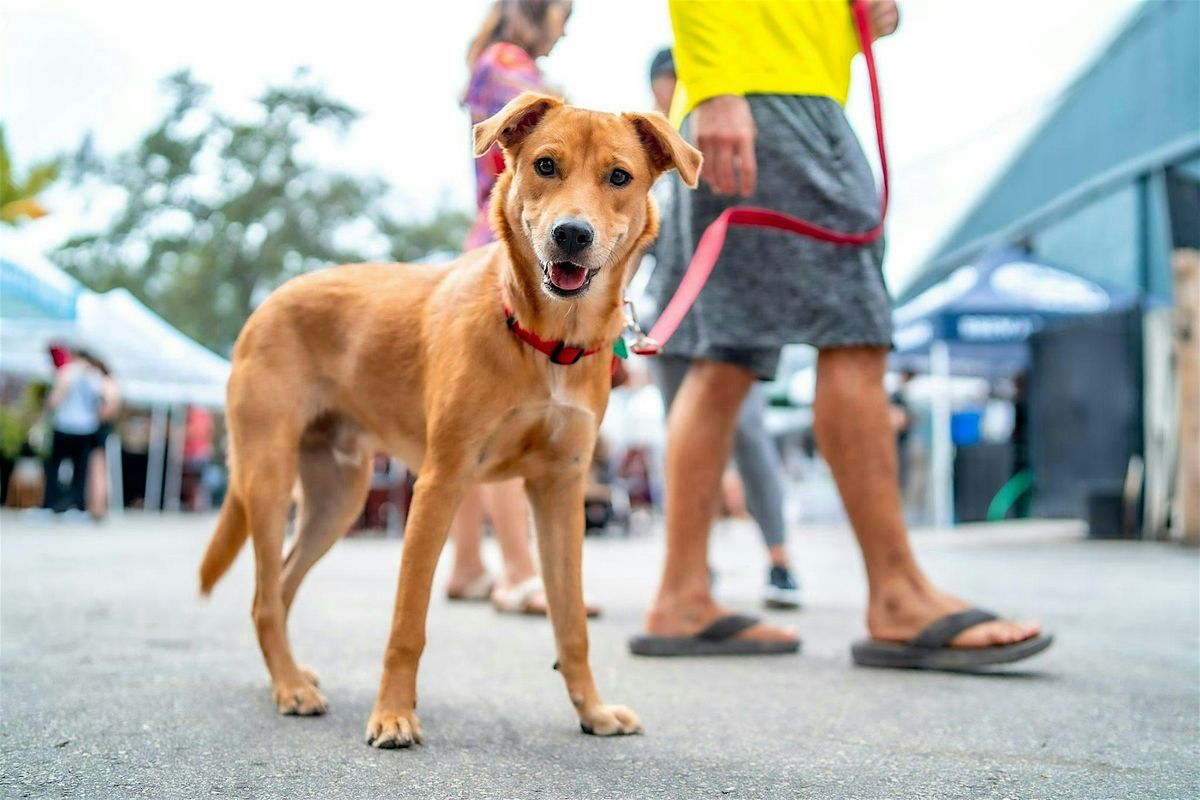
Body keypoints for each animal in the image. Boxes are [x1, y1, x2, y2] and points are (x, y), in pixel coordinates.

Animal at [198, 94, 700, 753]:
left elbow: (571, 623)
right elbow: (408, 622)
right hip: (269, 479)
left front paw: (591, 711)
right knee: (263, 595)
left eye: (619, 177)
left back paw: (291, 673)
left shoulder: (560, 491)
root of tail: (270, 301)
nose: (572, 234)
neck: (544, 340)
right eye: (545, 165)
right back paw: (289, 688)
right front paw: (393, 715)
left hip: (339, 497)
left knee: (277, 587)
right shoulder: (440, 484)